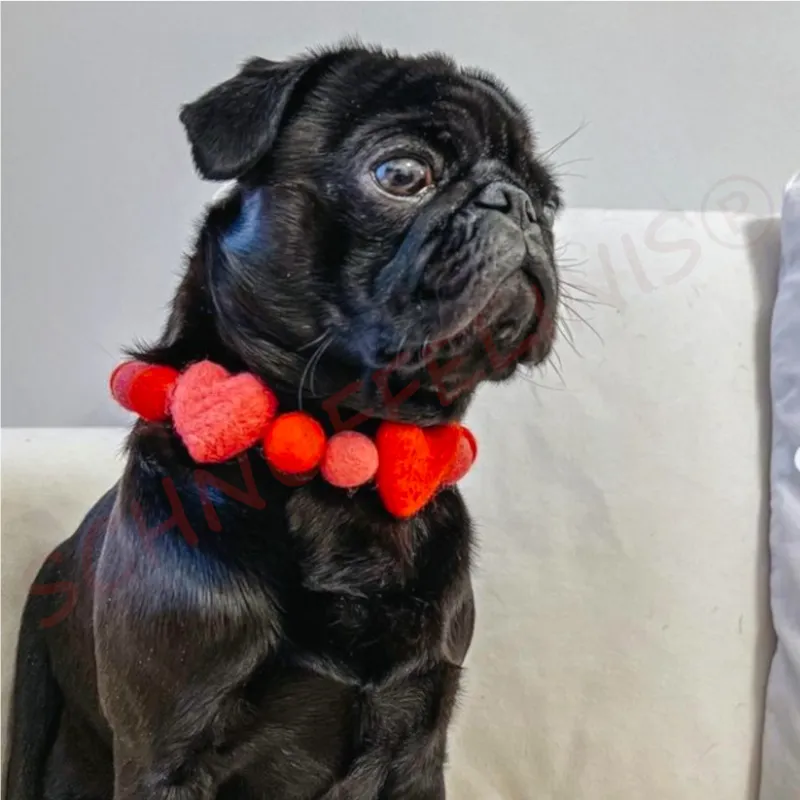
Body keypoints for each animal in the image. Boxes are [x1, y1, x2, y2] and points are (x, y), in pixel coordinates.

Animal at [4, 45, 556, 800]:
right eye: (402, 174)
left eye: (550, 200)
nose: (519, 203)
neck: (349, 459)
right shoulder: (167, 759)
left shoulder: (418, 747)